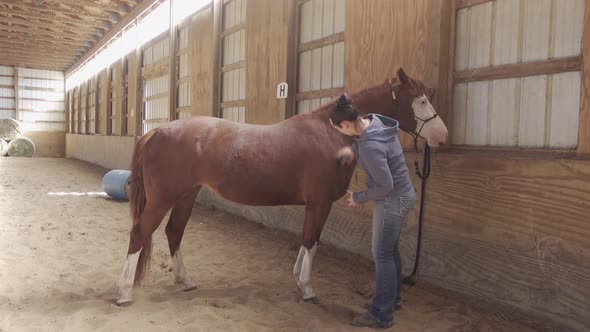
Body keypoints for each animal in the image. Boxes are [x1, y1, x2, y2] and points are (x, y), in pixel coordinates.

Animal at [115, 68, 448, 306]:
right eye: (420, 100)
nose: (442, 135)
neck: (330, 133)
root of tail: (156, 131)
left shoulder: (313, 205)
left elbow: (307, 240)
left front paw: (298, 279)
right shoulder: (320, 203)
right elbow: (312, 241)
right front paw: (308, 289)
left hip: (186, 195)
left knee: (174, 232)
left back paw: (185, 281)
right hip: (163, 199)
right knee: (139, 234)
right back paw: (124, 293)